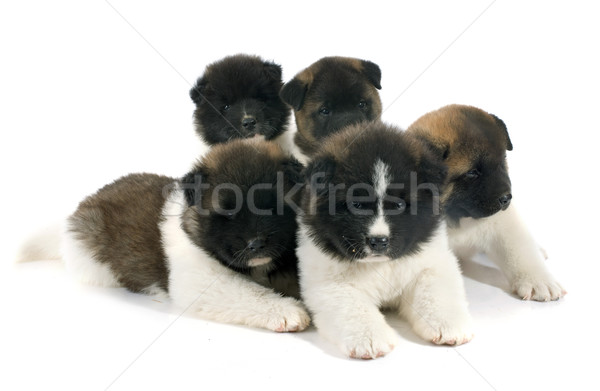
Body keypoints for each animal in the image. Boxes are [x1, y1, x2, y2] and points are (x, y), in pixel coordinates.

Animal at [18, 139, 310, 332]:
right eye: (227, 213)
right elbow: (249, 293)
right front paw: (288, 311)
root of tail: (75, 214)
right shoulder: (200, 282)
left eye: (275, 207)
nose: (256, 244)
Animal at [296, 121, 474, 360]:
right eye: (357, 205)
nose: (378, 241)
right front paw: (370, 339)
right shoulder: (330, 283)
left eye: (398, 205)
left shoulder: (431, 263)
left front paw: (449, 325)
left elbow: (436, 294)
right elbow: (354, 308)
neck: (380, 265)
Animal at [406, 102, 564, 302]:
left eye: (502, 161)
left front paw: (539, 282)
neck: (456, 219)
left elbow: (519, 250)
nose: (506, 198)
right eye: (472, 172)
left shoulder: (504, 224)